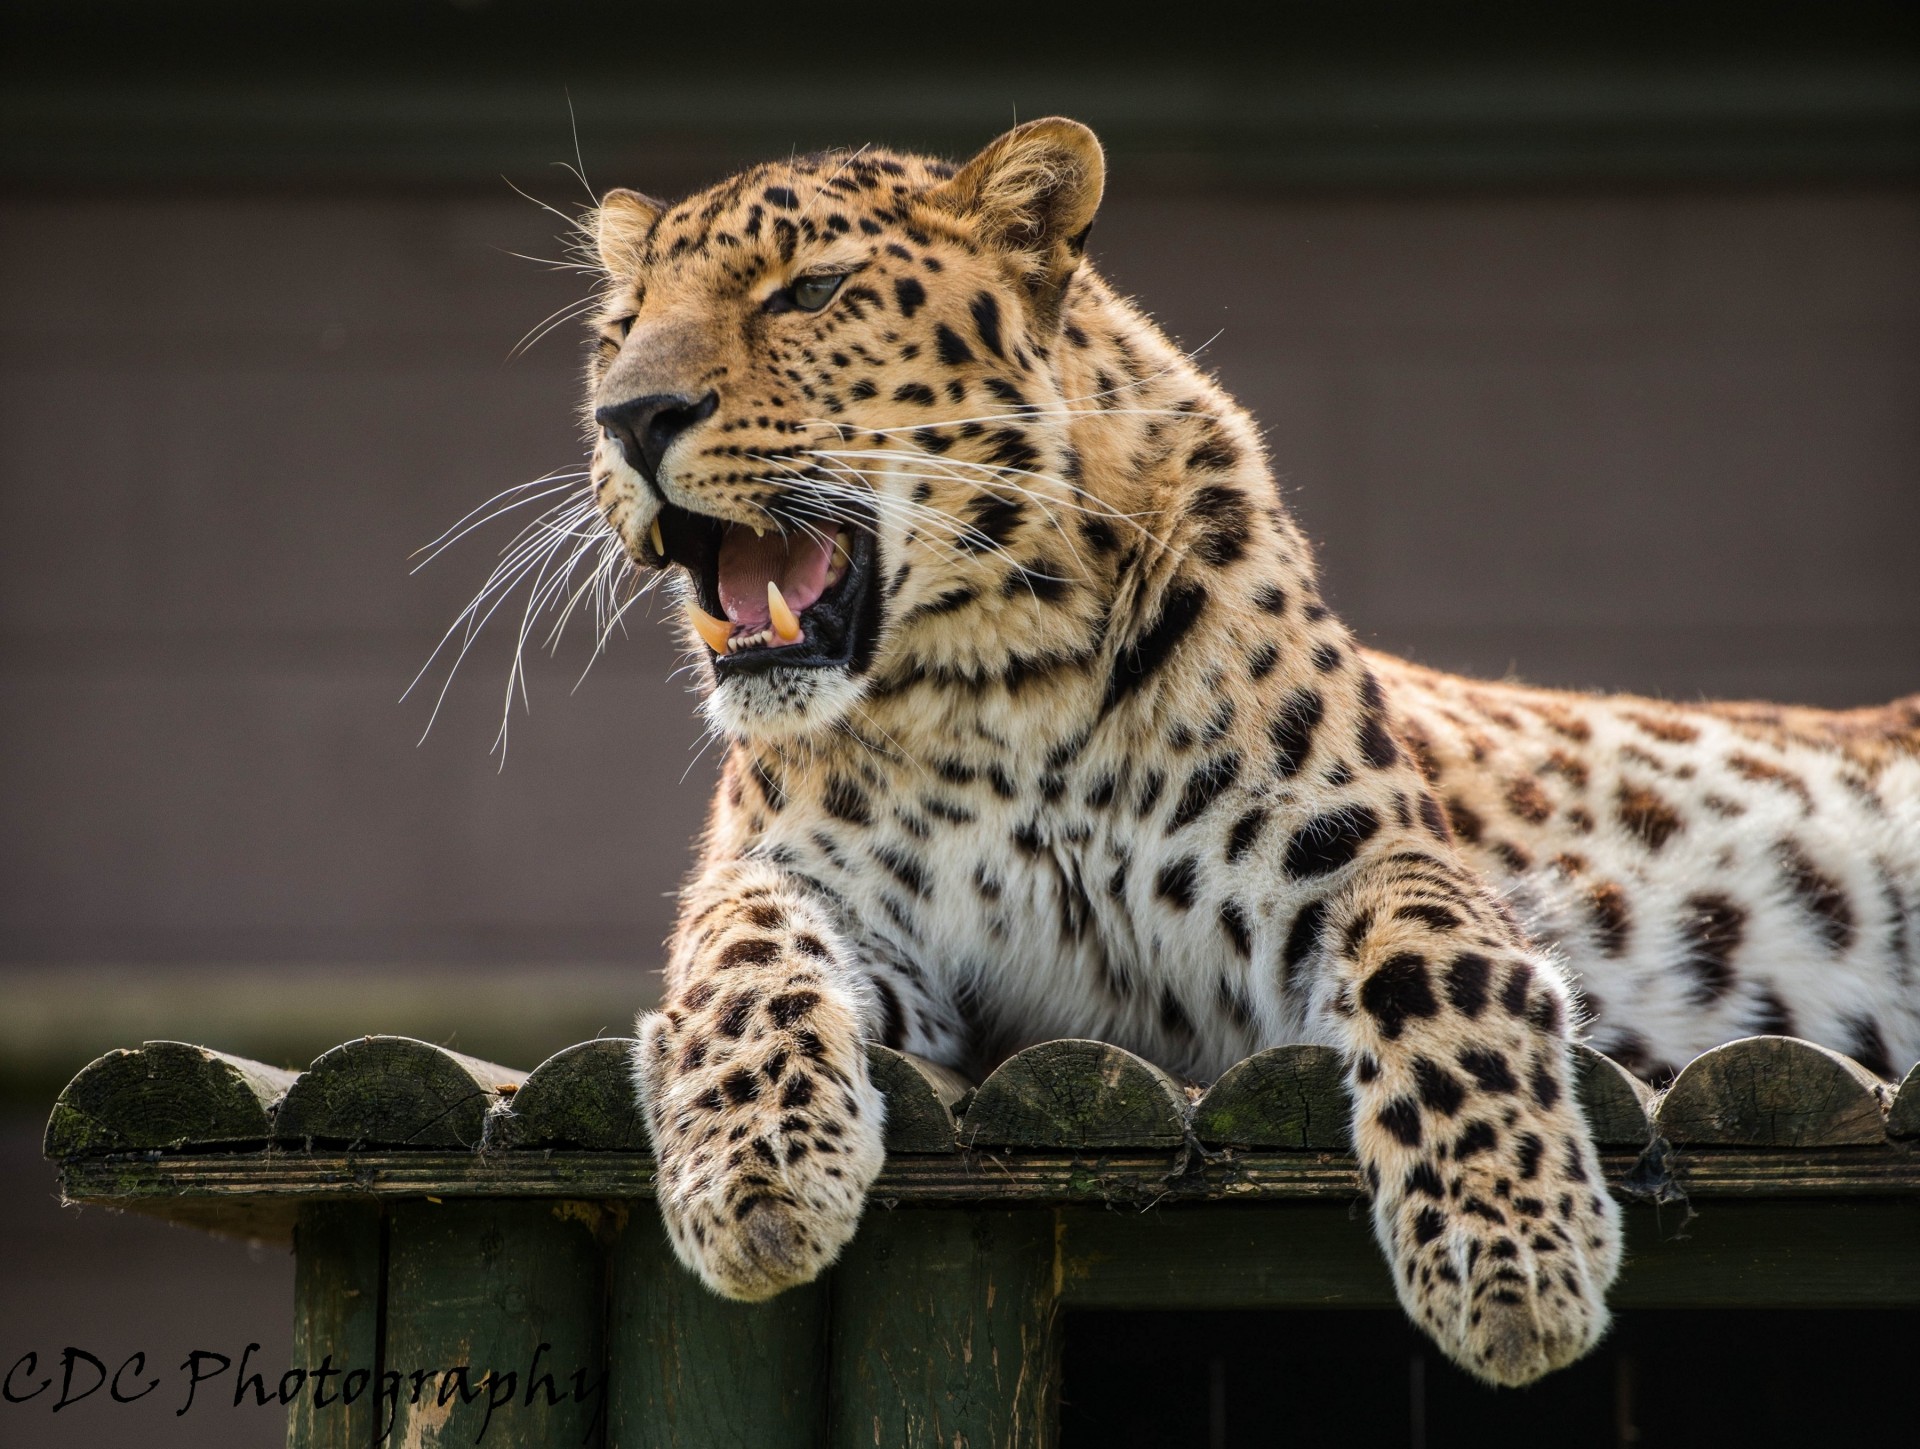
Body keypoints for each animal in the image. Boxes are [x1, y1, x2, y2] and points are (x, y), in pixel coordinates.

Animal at [549, 118, 1912, 1389]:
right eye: (620, 329)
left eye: (811, 292)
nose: (630, 418)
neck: (995, 692)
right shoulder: (833, 899)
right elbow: (736, 958)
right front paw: (754, 1177)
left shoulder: (1362, 857)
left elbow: (1441, 976)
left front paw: (1511, 1256)